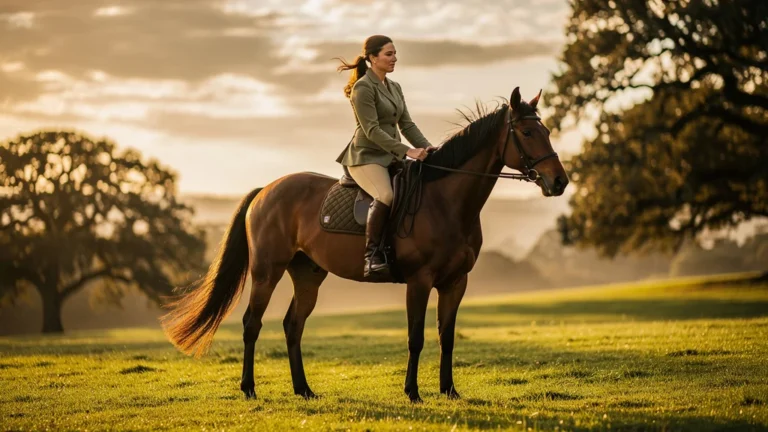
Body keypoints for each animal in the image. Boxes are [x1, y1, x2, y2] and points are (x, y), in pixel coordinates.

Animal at [160, 87, 569, 403]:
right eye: (528, 132)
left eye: (547, 130)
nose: (559, 182)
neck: (447, 202)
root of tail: (267, 190)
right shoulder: (419, 281)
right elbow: (416, 338)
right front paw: (413, 393)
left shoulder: (456, 283)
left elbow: (447, 337)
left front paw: (449, 391)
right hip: (266, 272)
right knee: (252, 324)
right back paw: (248, 389)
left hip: (308, 275)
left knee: (293, 326)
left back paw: (304, 390)